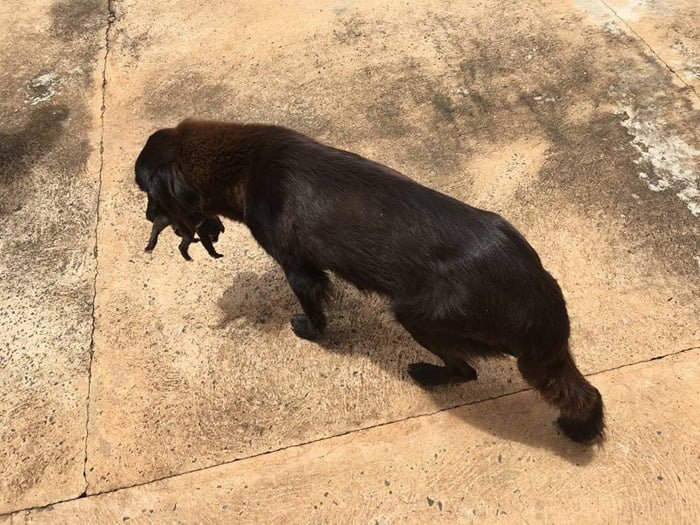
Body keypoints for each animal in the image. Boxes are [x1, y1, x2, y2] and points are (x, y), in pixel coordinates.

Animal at [134, 119, 604, 442]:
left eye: (144, 190)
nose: (147, 218)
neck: (248, 166)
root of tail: (541, 301)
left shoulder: (299, 268)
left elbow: (314, 311)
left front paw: (310, 332)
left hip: (421, 317)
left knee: (466, 371)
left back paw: (425, 374)